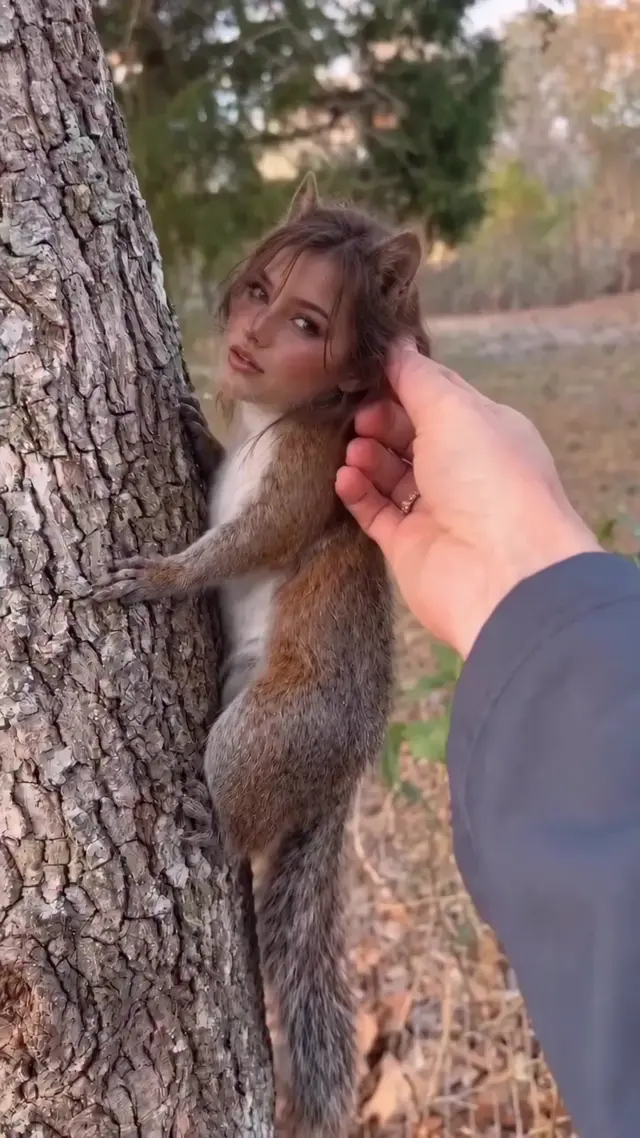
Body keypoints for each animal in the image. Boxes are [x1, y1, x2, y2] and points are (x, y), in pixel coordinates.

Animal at [93, 173, 430, 1137]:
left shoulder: (309, 473)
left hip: (266, 732)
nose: (244, 341)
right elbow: (212, 475)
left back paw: (213, 826)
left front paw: (160, 575)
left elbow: (249, 540)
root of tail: (343, 770)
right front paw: (195, 423)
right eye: (256, 289)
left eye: (309, 321)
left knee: (241, 820)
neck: (270, 420)